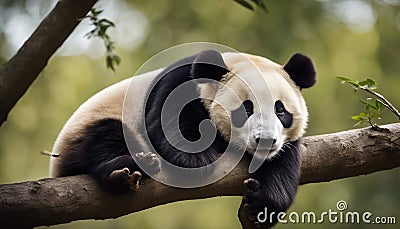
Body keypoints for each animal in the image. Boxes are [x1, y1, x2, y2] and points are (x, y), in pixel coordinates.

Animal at [49, 49, 316, 227]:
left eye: (280, 110)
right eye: (246, 108)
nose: (265, 141)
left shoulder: (285, 144)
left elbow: (284, 162)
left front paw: (260, 205)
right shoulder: (177, 84)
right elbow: (169, 123)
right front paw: (197, 161)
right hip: (92, 125)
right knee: (104, 138)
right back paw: (124, 170)